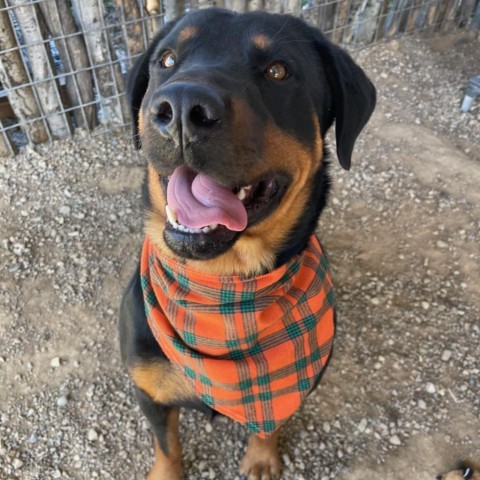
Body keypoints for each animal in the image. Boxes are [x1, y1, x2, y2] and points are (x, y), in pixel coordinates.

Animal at [119, 8, 376, 480]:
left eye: (278, 71)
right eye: (167, 60)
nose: (181, 107)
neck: (225, 285)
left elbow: (268, 424)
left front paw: (261, 458)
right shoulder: (150, 392)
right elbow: (167, 445)